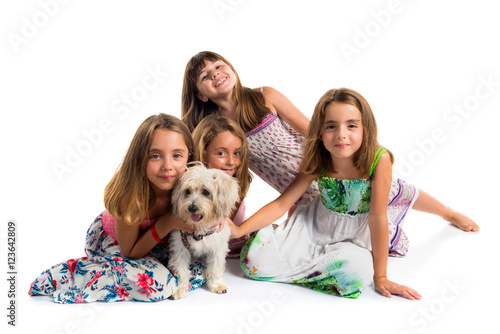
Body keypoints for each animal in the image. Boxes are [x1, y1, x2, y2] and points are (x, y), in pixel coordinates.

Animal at [168, 162, 238, 300]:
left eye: (206, 192)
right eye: (187, 191)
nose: (192, 207)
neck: (199, 229)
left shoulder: (217, 248)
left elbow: (215, 268)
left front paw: (217, 284)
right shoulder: (180, 247)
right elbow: (181, 270)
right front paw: (179, 289)